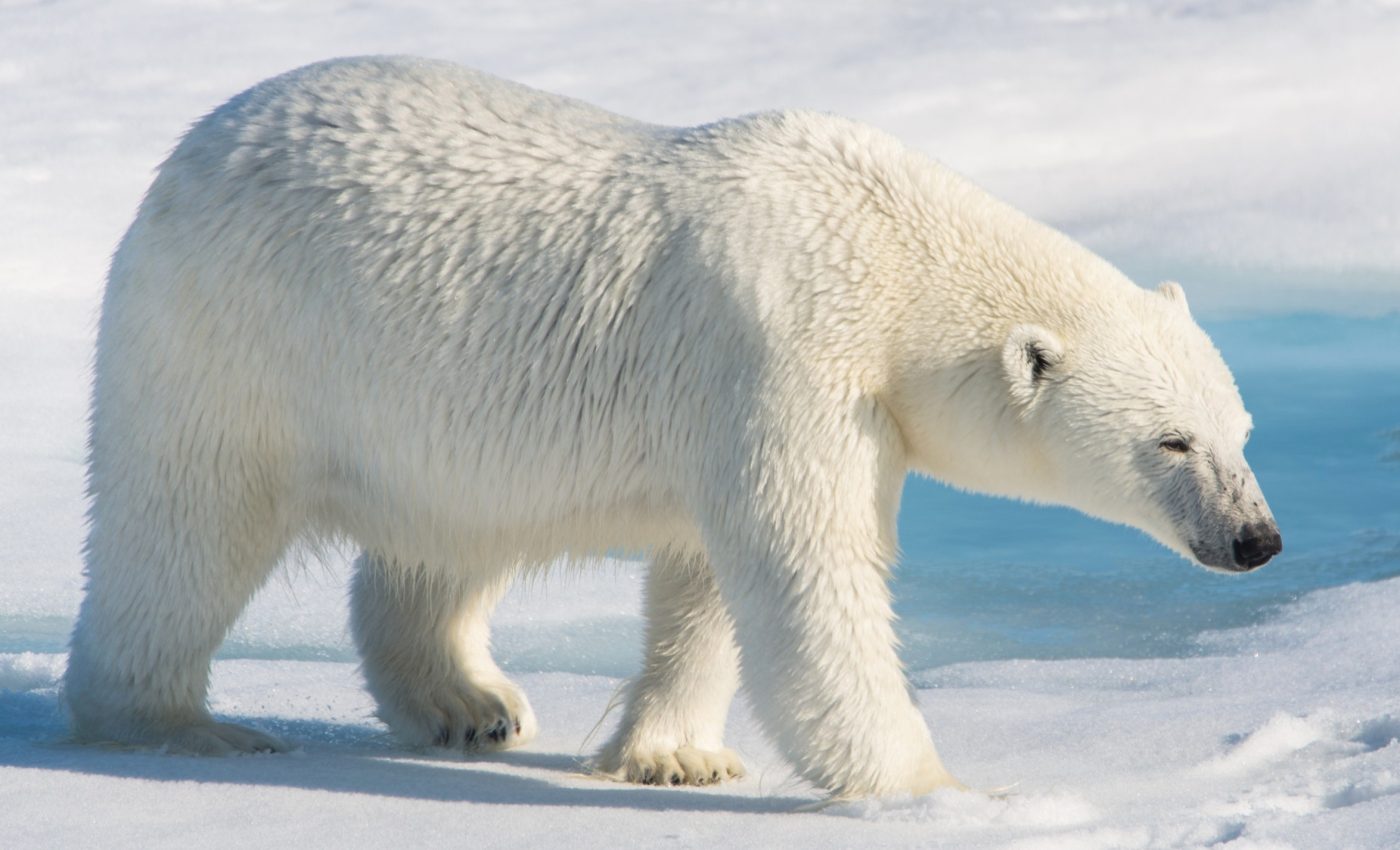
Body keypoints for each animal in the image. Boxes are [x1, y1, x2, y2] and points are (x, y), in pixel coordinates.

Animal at [65, 56, 1281, 799]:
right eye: (1170, 442)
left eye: (1242, 429)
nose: (1256, 538)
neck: (889, 255)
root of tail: (195, 144)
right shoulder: (786, 354)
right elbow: (805, 569)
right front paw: (936, 786)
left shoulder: (794, 396)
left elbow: (708, 577)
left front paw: (673, 756)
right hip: (236, 345)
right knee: (183, 530)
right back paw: (177, 724)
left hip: (429, 410)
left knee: (443, 537)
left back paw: (471, 703)